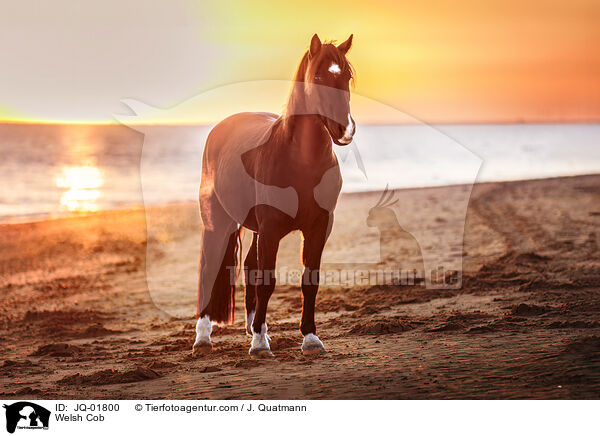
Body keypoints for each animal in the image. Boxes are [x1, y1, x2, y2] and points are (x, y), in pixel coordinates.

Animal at [193, 35, 356, 358]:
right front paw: (259, 345)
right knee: (209, 268)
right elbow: (267, 283)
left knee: (249, 268)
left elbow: (309, 281)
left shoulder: (319, 227)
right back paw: (204, 336)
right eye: (318, 77)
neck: (301, 163)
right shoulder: (271, 229)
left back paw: (254, 327)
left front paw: (310, 338)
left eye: (346, 76)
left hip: (255, 229)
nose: (344, 129)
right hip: (218, 222)